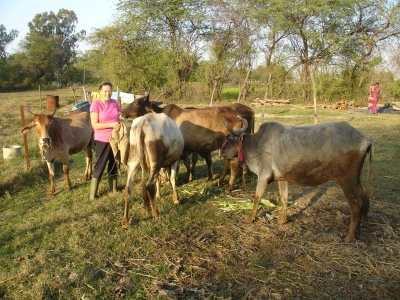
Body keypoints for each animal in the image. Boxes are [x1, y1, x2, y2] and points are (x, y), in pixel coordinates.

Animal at [120, 95, 255, 192]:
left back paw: (229, 186)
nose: (121, 113)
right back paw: (223, 181)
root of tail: (238, 115)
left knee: (233, 165)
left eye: (137, 102)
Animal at [219, 118, 372, 243]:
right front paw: (282, 220)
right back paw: (357, 231)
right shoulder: (282, 178)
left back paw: (349, 237)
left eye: (229, 138)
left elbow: (257, 197)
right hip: (355, 178)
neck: (255, 144)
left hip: (347, 179)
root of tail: (365, 138)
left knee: (356, 204)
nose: (220, 152)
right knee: (363, 199)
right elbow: (284, 198)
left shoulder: (263, 176)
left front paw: (250, 218)